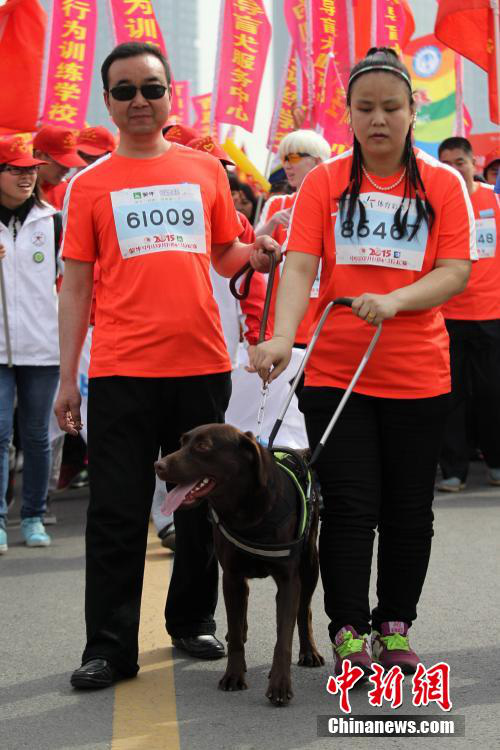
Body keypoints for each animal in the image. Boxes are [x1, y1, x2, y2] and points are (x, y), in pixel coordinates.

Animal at [154, 426, 324, 708]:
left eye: (203, 446)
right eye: (182, 442)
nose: (158, 465)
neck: (246, 512)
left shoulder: (288, 580)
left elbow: (283, 639)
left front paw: (280, 685)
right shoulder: (232, 577)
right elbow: (234, 633)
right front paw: (233, 675)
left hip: (310, 564)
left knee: (304, 611)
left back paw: (309, 651)